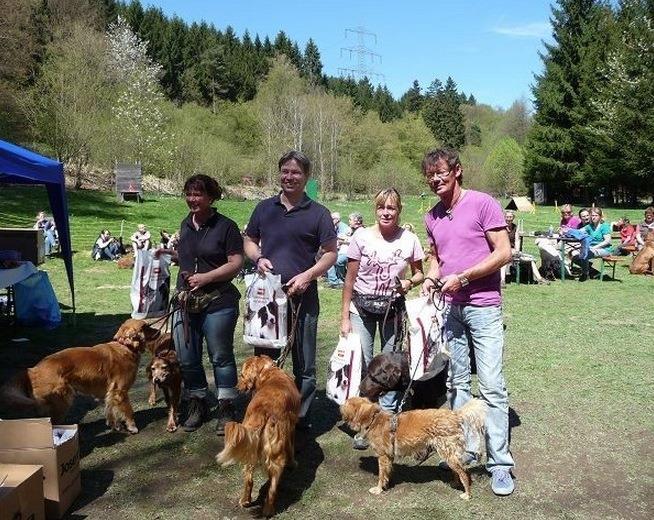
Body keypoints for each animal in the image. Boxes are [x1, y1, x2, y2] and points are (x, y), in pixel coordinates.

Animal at [0, 318, 159, 432]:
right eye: (146, 326)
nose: (158, 330)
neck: (125, 347)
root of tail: (32, 369)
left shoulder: (111, 393)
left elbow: (111, 410)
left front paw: (115, 426)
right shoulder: (120, 391)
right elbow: (128, 410)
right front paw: (132, 427)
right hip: (63, 399)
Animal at [218, 356, 304, 516]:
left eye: (242, 375)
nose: (236, 388)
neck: (270, 373)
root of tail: (263, 411)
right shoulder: (291, 428)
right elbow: (291, 448)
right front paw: (293, 463)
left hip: (249, 448)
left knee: (249, 480)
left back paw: (245, 501)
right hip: (276, 456)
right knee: (272, 488)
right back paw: (268, 510)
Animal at [344, 398, 486, 500]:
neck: (374, 419)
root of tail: (454, 414)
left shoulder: (383, 456)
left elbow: (381, 475)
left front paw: (379, 489)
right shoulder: (389, 456)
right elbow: (387, 472)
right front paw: (387, 484)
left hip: (447, 452)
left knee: (464, 472)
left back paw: (467, 494)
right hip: (450, 454)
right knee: (457, 470)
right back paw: (456, 483)